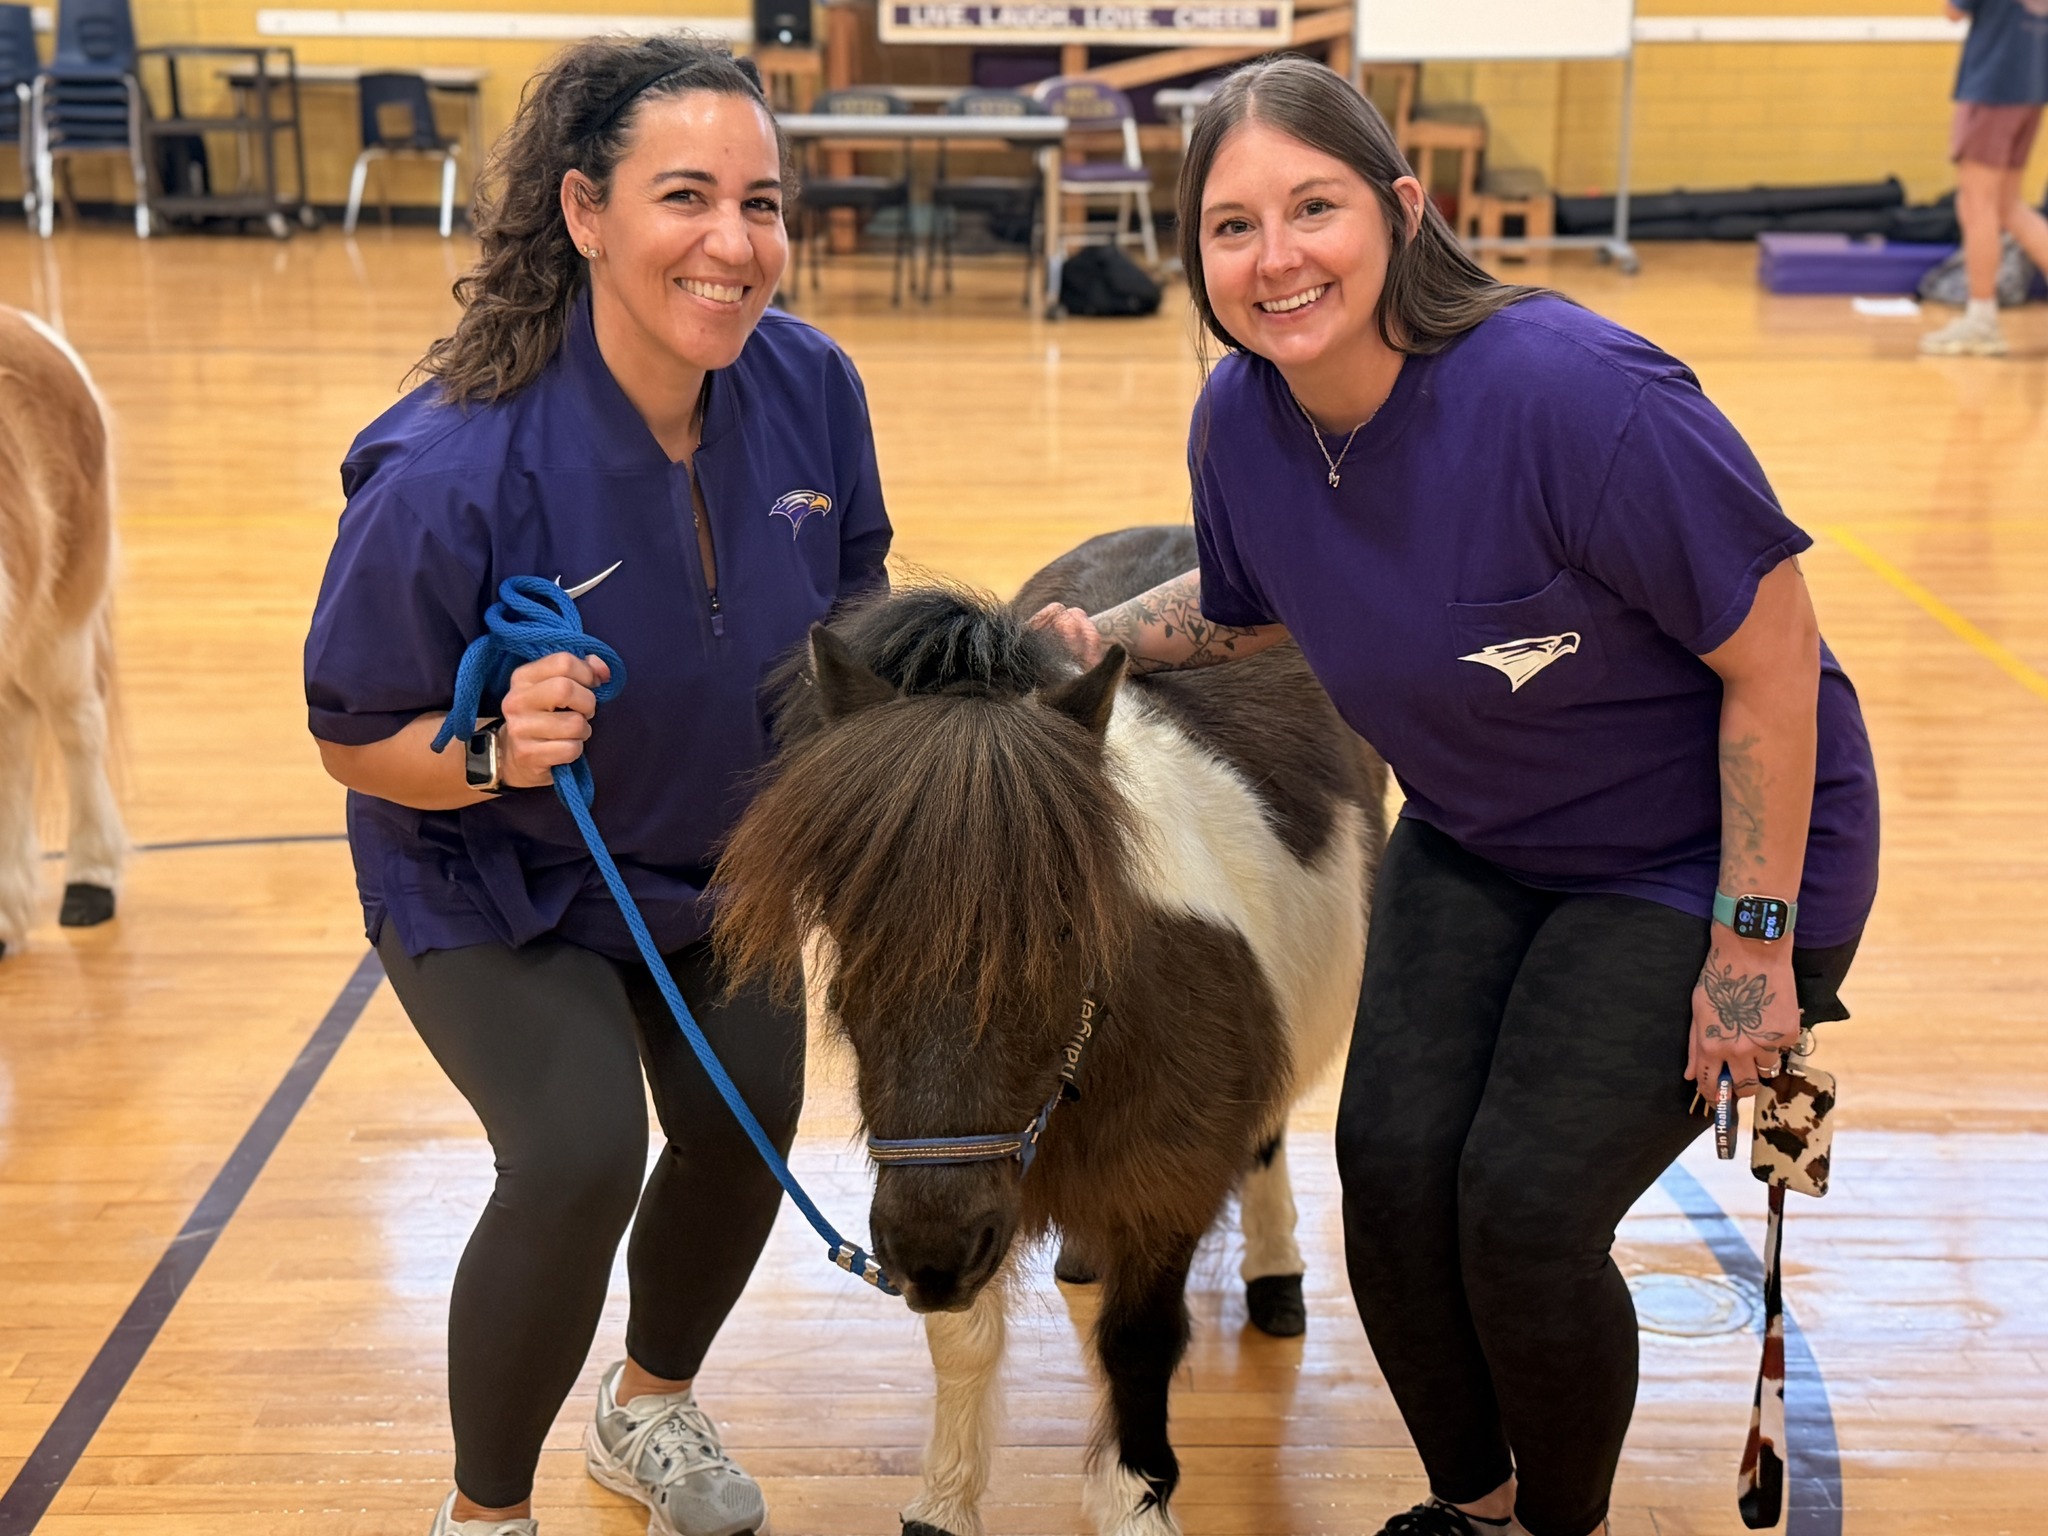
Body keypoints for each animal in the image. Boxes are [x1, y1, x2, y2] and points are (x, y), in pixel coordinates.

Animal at [714, 526, 1387, 1536]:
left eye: (1068, 925)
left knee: (1268, 1140)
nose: (929, 1255)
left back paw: (1275, 1277)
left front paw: (1136, 1496)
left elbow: (1139, 1342)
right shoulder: (962, 1206)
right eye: (843, 916)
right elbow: (961, 1343)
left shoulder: (1166, 1189)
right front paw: (944, 1503)